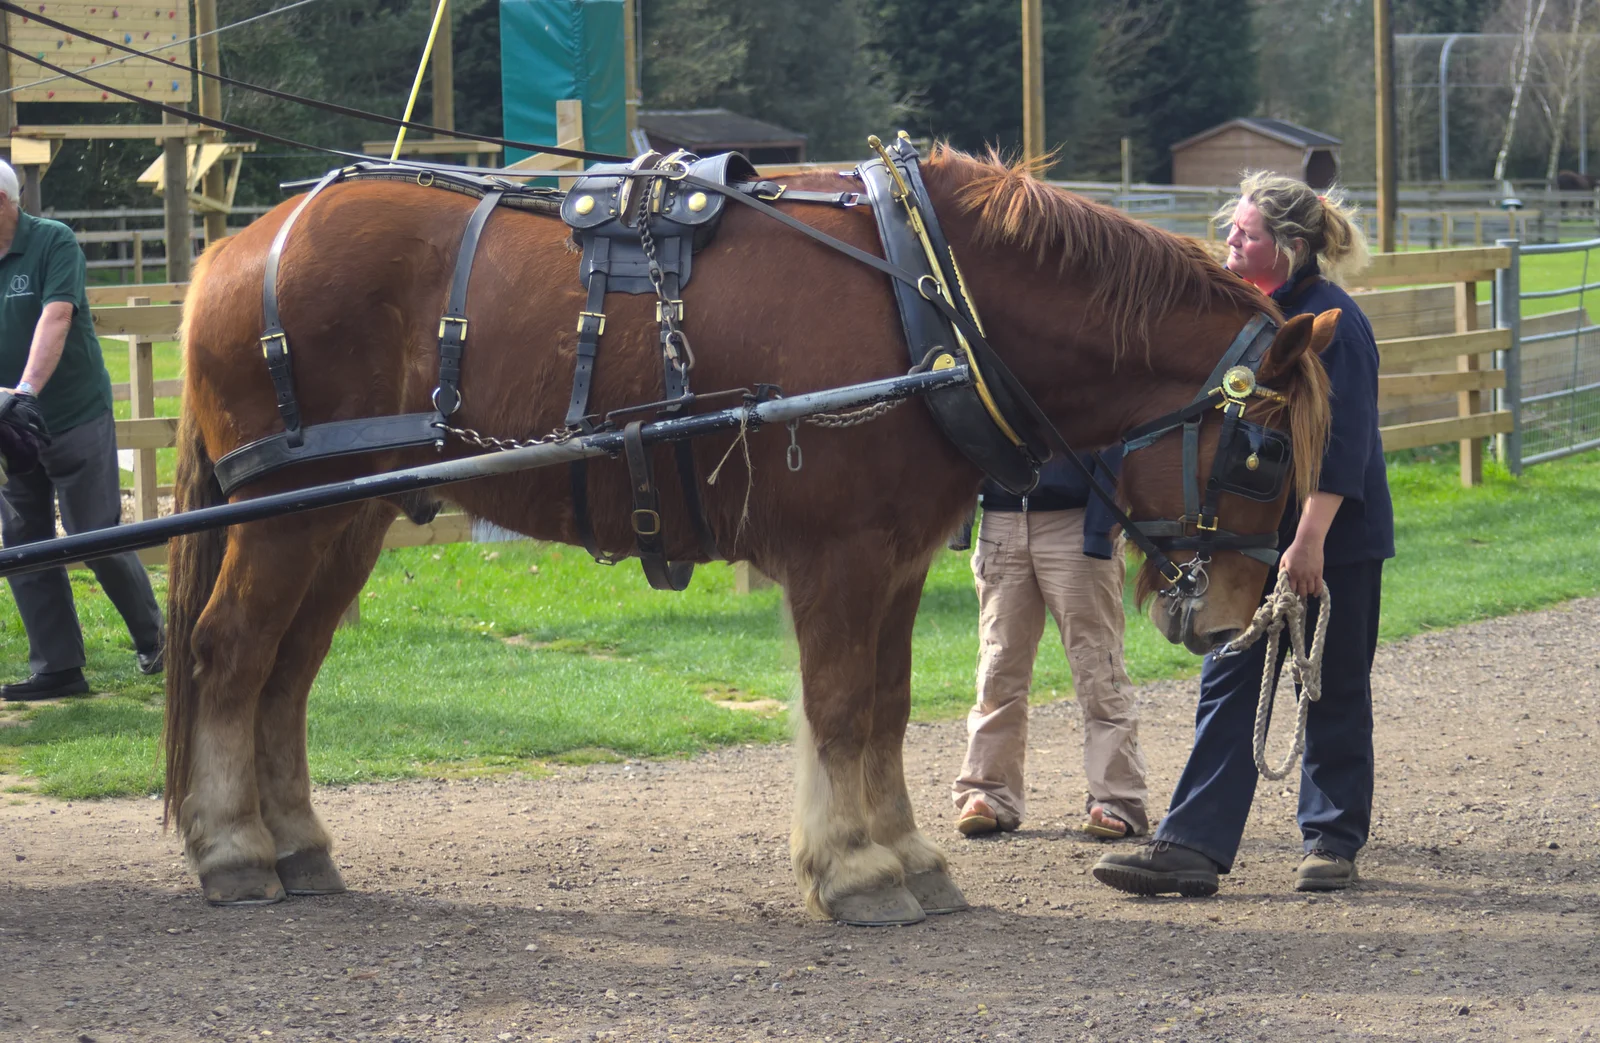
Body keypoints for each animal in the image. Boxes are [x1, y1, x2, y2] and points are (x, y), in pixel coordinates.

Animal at [162, 142, 1337, 927]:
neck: (927, 298)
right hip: (293, 512)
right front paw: (857, 870)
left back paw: (297, 843)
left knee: (285, 672)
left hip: (342, 517)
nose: (1241, 614)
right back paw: (233, 847)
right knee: (232, 654)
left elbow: (886, 706)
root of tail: (233, 250)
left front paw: (903, 854)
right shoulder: (839, 556)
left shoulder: (895, 559)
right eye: (1263, 457)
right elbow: (841, 705)